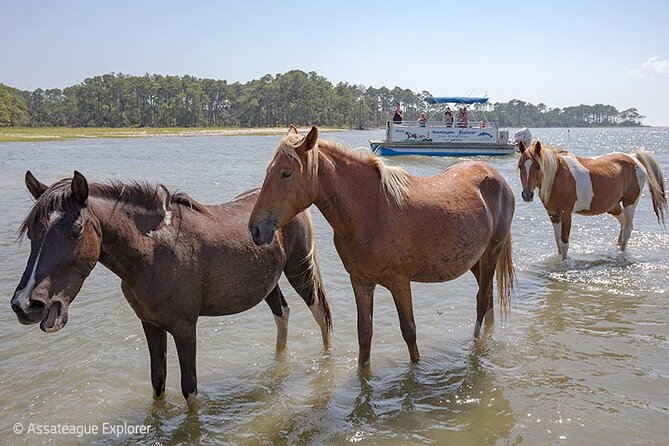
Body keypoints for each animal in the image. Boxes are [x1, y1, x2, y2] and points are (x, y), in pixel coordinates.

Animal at [9, 172, 332, 408]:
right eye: (32, 232)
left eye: (76, 230)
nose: (26, 304)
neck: (153, 252)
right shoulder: (150, 324)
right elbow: (158, 381)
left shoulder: (185, 327)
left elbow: (189, 388)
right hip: (269, 283)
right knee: (282, 314)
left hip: (299, 272)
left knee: (322, 317)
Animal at [248, 124, 516, 366]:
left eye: (286, 173)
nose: (255, 229)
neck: (372, 210)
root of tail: (495, 176)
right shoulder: (361, 282)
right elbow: (364, 335)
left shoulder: (399, 283)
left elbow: (409, 332)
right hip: (475, 261)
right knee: (488, 300)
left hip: (492, 253)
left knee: (482, 301)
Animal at [516, 139, 664, 258]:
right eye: (520, 166)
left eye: (538, 166)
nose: (527, 195)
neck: (557, 176)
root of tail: (634, 157)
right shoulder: (553, 214)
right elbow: (558, 242)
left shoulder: (566, 214)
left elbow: (564, 243)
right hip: (613, 206)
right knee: (623, 223)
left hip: (630, 203)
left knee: (627, 229)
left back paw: (622, 253)